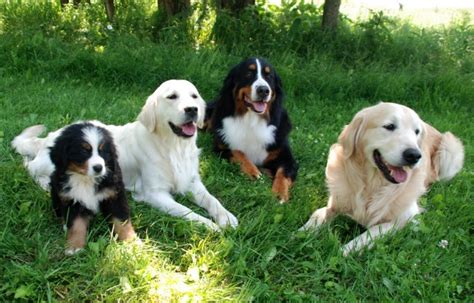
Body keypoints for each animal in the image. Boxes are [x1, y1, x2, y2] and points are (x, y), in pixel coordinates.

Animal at [49, 122, 136, 255]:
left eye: (102, 151)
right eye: (84, 151)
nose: (99, 167)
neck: (86, 180)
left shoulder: (115, 196)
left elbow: (122, 221)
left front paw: (131, 243)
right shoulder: (73, 200)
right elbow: (76, 225)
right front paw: (75, 246)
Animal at [206, 58, 298, 203]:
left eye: (269, 76)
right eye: (249, 73)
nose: (263, 90)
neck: (252, 120)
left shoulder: (286, 157)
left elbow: (282, 173)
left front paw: (280, 193)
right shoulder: (222, 147)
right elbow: (239, 153)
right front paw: (253, 172)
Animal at [302, 102, 464, 256]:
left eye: (416, 132)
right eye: (389, 126)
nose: (414, 155)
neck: (373, 184)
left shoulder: (406, 217)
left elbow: (371, 232)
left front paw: (344, 250)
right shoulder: (336, 203)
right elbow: (318, 214)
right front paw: (302, 234)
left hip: (449, 149)